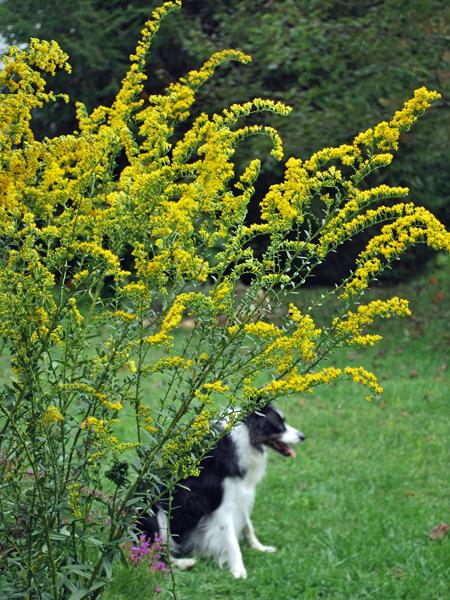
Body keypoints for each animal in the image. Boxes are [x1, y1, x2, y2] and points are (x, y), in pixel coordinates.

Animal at [139, 406, 304, 580]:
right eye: (279, 426)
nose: (302, 436)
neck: (244, 437)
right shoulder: (222, 507)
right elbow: (232, 541)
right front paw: (239, 571)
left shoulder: (241, 497)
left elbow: (248, 526)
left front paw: (259, 548)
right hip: (156, 516)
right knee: (153, 553)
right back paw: (184, 563)